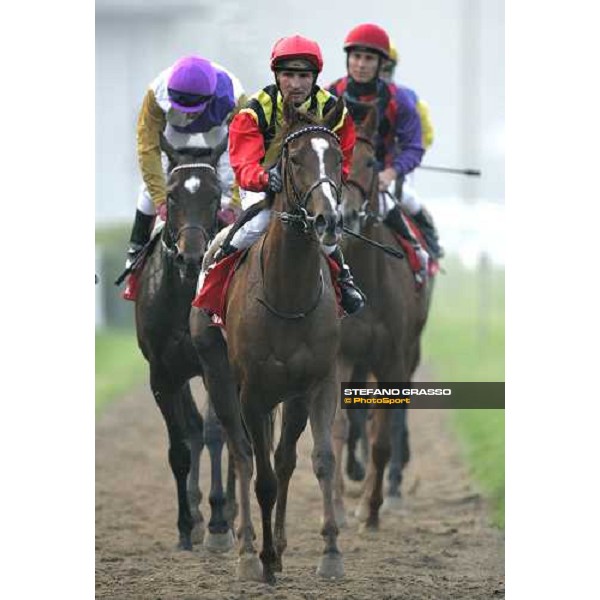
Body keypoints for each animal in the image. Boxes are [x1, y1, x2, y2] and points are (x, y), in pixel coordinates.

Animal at [200, 96, 344, 584]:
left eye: (337, 157)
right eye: (295, 158)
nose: (328, 219)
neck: (287, 293)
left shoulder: (316, 384)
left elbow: (318, 460)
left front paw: (329, 553)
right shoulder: (252, 392)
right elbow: (258, 474)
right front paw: (259, 559)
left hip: (288, 396)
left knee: (282, 460)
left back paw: (276, 546)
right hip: (222, 379)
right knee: (243, 455)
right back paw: (245, 547)